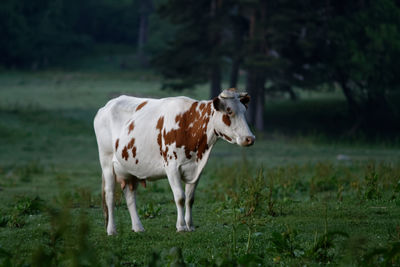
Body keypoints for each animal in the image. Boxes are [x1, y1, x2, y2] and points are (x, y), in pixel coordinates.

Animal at [94, 88, 255, 234]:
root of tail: (106, 106)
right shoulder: (171, 167)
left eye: (244, 111)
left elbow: (190, 198)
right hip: (106, 162)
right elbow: (180, 197)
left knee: (130, 196)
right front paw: (181, 226)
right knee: (109, 195)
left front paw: (190, 226)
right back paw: (111, 230)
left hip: (130, 168)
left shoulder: (197, 169)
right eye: (229, 111)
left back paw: (138, 227)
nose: (250, 138)